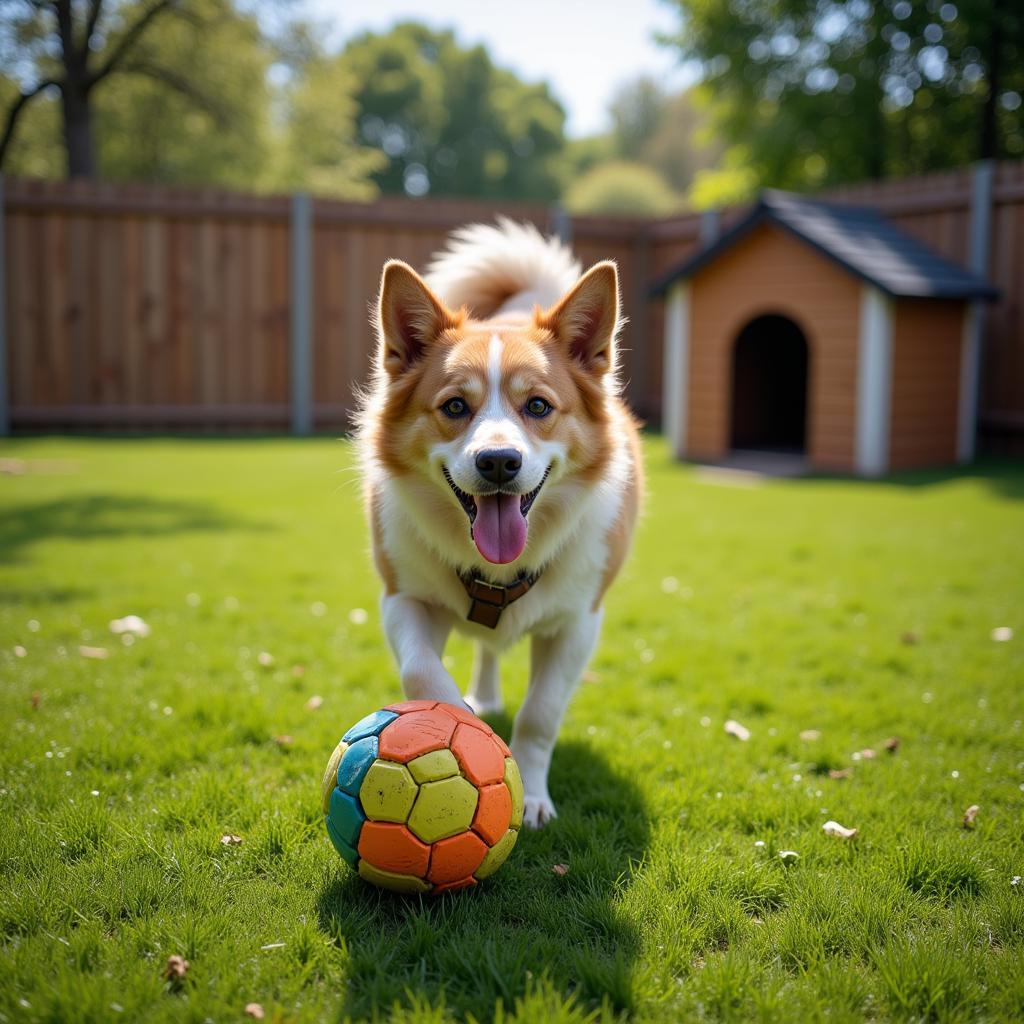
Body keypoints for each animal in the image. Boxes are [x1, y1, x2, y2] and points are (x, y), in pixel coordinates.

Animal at [358, 220, 638, 827]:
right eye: (454, 407)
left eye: (537, 407)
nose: (499, 462)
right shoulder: (402, 597)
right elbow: (422, 673)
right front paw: (463, 722)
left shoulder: (578, 624)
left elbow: (540, 714)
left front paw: (530, 796)